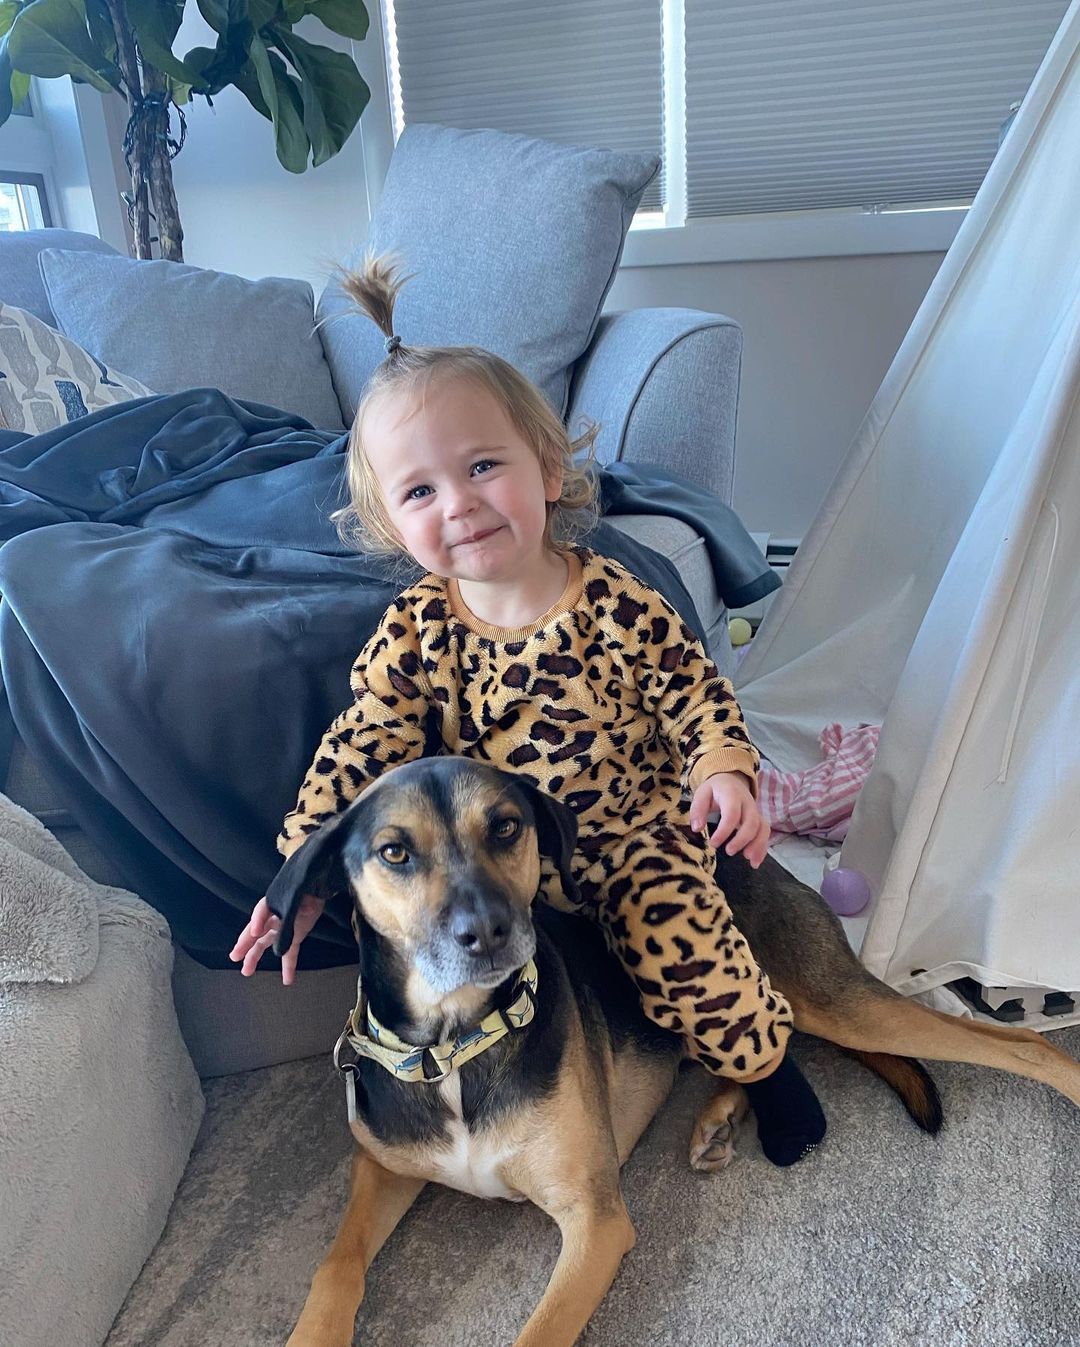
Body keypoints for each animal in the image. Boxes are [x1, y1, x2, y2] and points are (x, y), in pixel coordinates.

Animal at [266, 759, 1077, 1347]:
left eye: (505, 827)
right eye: (394, 852)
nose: (491, 931)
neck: (458, 1045)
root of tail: (739, 851)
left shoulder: (595, 1223)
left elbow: (536, 1334)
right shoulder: (382, 1165)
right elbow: (334, 1267)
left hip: (830, 998)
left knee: (1018, 1041)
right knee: (763, 1044)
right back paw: (721, 1119)